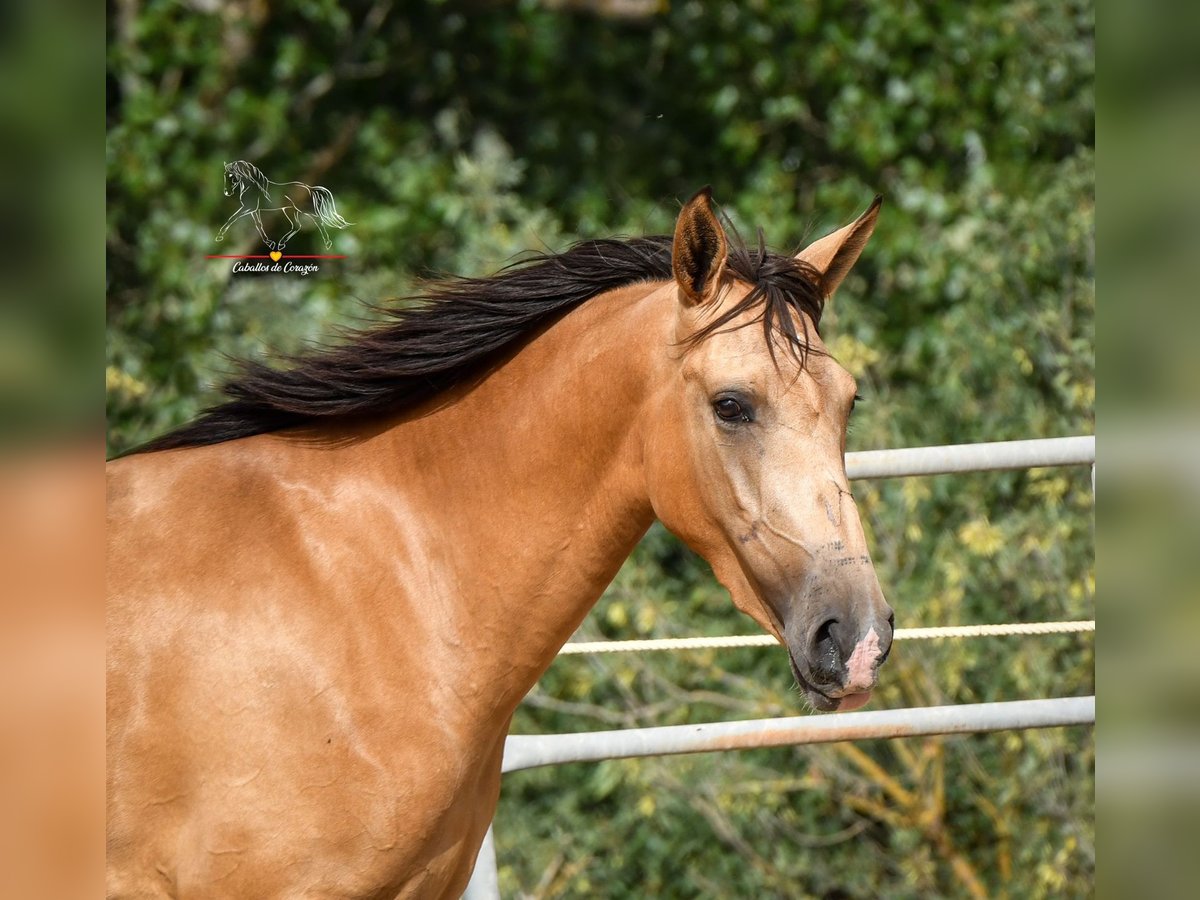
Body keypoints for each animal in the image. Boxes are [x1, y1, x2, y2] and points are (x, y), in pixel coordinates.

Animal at [213, 160, 350, 252]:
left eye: (232, 177)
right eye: (225, 176)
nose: (227, 192)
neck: (253, 186)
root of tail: (309, 188)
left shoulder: (249, 208)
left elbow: (232, 218)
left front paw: (219, 235)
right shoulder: (254, 210)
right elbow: (258, 224)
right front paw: (270, 243)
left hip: (302, 209)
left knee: (317, 221)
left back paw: (327, 243)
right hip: (291, 210)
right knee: (297, 226)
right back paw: (281, 244)